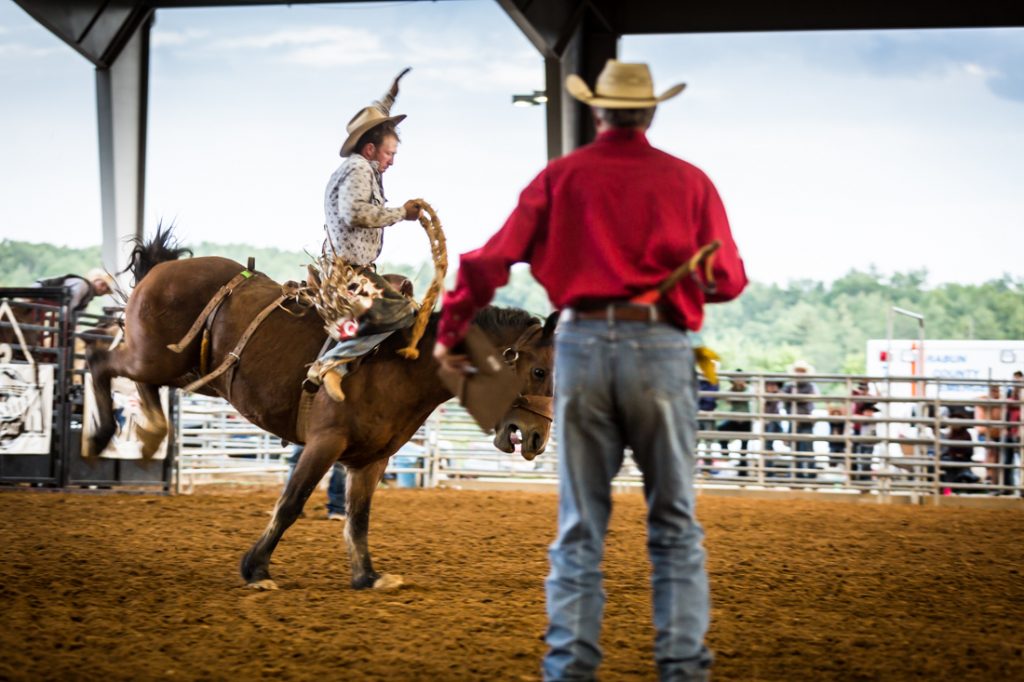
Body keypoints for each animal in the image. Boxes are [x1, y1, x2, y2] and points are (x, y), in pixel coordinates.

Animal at [83, 229, 557, 589]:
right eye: (538, 371)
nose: (538, 437)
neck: (405, 365)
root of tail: (163, 268)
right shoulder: (324, 443)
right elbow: (291, 503)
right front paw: (256, 569)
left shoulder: (372, 459)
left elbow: (359, 517)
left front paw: (367, 576)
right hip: (151, 356)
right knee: (100, 363)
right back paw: (102, 436)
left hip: (181, 368)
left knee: (141, 386)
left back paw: (149, 435)